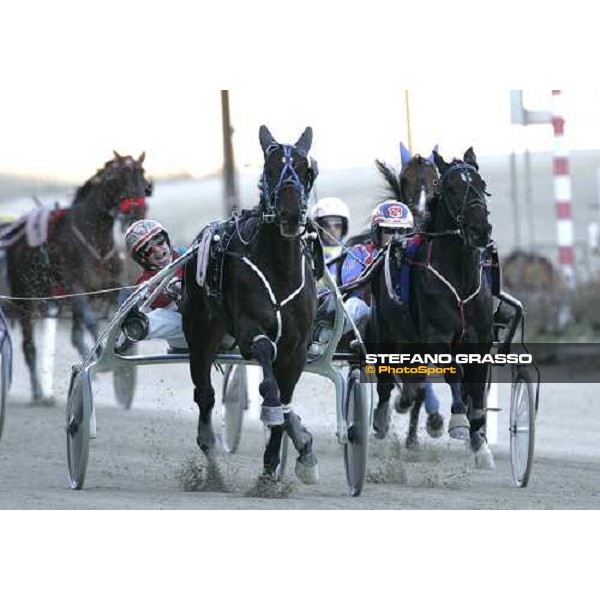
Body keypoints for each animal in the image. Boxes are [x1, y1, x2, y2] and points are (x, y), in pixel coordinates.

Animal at [6, 152, 150, 404]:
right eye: (117, 178)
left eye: (142, 176)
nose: (136, 213)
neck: (95, 239)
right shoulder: (76, 285)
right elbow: (92, 322)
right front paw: (102, 355)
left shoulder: (111, 285)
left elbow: (120, 311)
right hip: (26, 298)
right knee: (29, 346)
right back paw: (39, 393)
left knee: (74, 334)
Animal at [183, 125, 324, 482]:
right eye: (270, 169)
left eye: (306, 170)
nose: (290, 215)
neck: (279, 269)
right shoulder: (250, 332)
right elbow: (268, 377)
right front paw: (272, 410)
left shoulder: (297, 347)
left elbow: (287, 400)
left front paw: (280, 459)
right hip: (200, 333)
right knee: (204, 394)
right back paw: (210, 454)